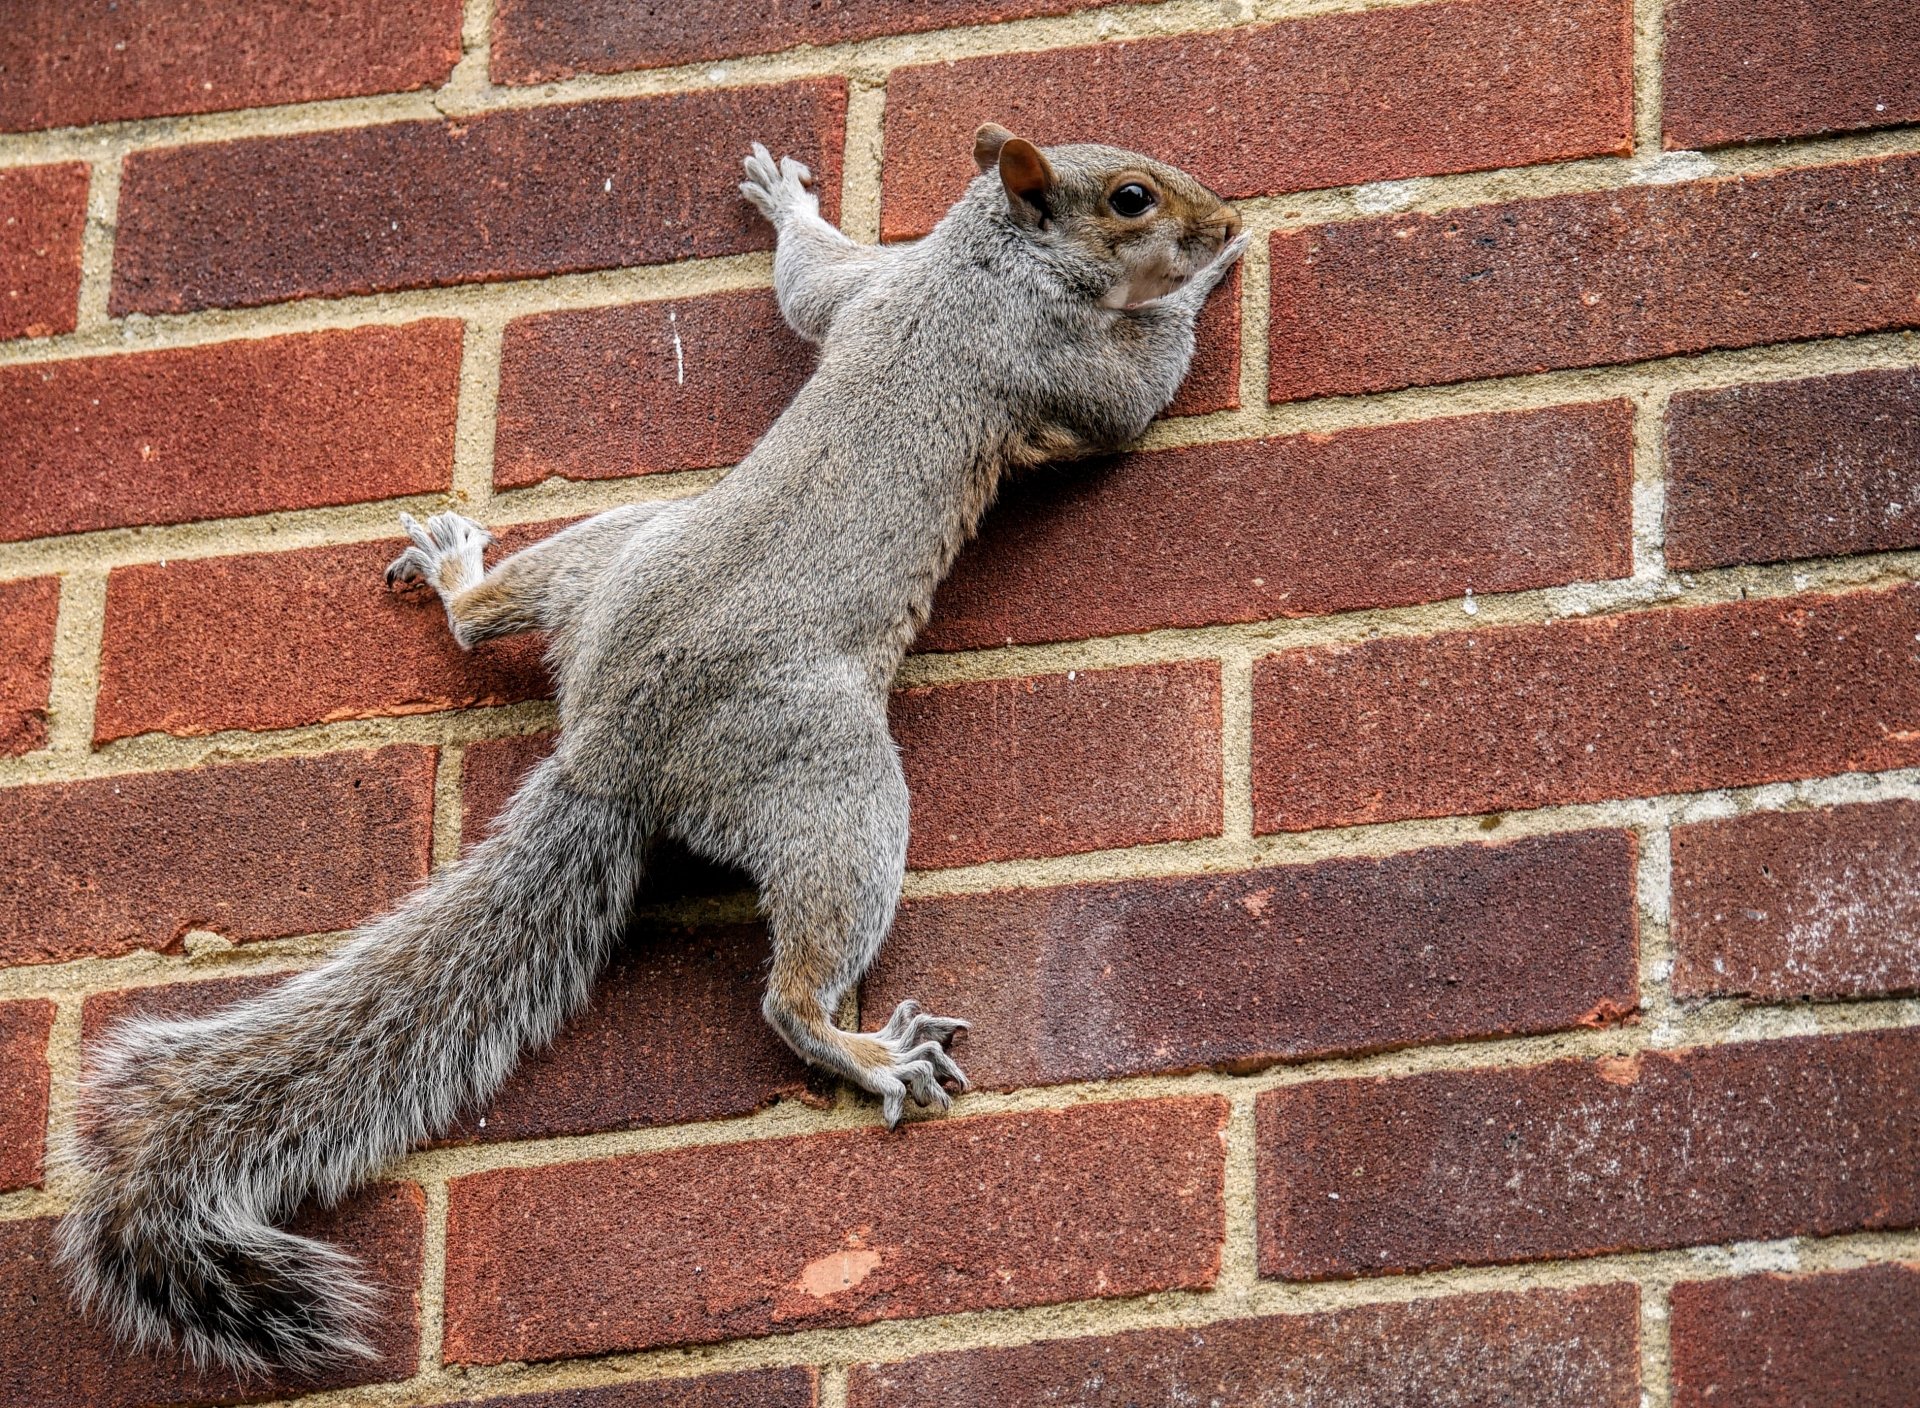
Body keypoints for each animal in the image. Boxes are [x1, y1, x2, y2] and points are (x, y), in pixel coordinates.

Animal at [57, 124, 1245, 1375]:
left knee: (488, 620)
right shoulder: (1050, 357)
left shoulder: (870, 286)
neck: (981, 262)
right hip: (835, 782)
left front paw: (784, 202)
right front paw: (1211, 274)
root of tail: (610, 752)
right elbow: (1135, 394)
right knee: (789, 991)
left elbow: (809, 282)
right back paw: (866, 1052)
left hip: (617, 551)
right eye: (1132, 198)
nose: (1219, 217)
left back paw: (461, 578)